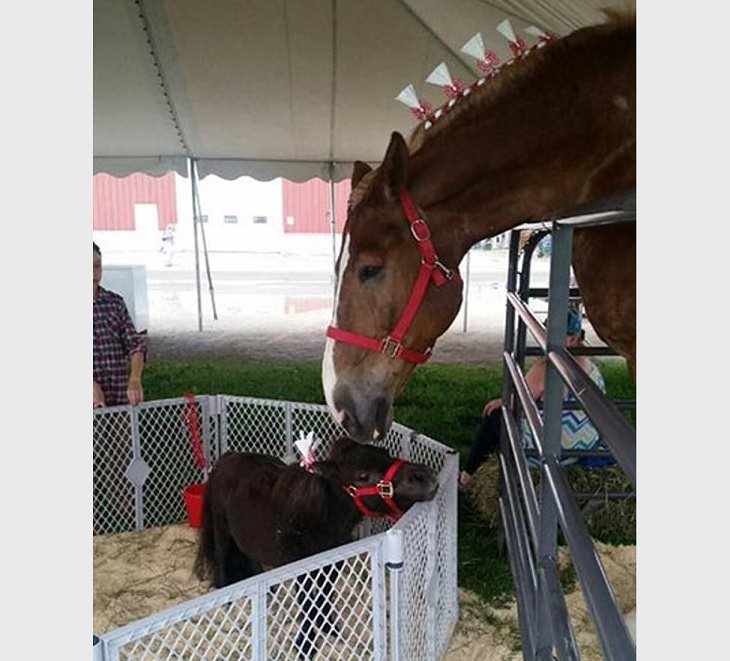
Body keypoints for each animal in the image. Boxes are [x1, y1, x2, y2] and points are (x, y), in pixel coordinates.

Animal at [191, 436, 438, 656]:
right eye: (362, 475)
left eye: (385, 452)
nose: (424, 477)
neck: (317, 518)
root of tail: (228, 457)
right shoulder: (303, 570)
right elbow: (308, 602)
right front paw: (305, 647)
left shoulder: (331, 565)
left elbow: (324, 596)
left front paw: (330, 630)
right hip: (221, 528)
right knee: (222, 557)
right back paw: (227, 603)